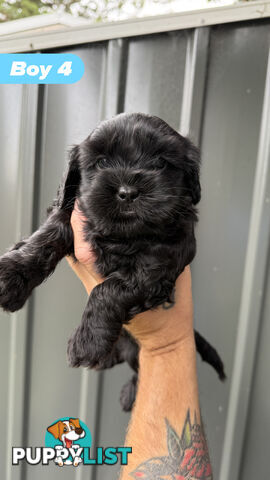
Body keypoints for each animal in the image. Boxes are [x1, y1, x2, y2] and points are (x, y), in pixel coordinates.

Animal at [0, 111, 225, 408]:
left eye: (160, 163)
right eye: (102, 162)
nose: (127, 192)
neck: (122, 236)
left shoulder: (160, 262)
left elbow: (110, 288)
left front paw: (88, 342)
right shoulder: (71, 210)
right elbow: (47, 235)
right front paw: (10, 275)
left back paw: (126, 388)